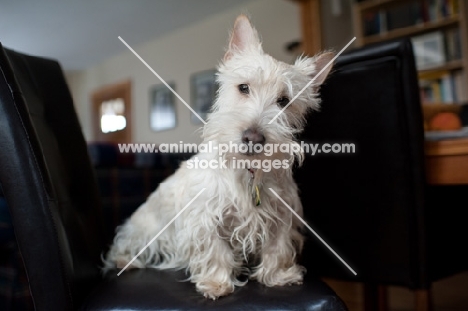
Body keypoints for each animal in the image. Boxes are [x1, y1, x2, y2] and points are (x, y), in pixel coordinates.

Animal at [104, 14, 334, 300]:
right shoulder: (205, 217)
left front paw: (278, 276)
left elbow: (277, 248)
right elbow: (216, 251)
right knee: (124, 246)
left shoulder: (282, 215)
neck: (247, 171)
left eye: (284, 101)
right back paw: (126, 261)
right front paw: (216, 284)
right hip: (143, 230)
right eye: (243, 88)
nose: (253, 138)